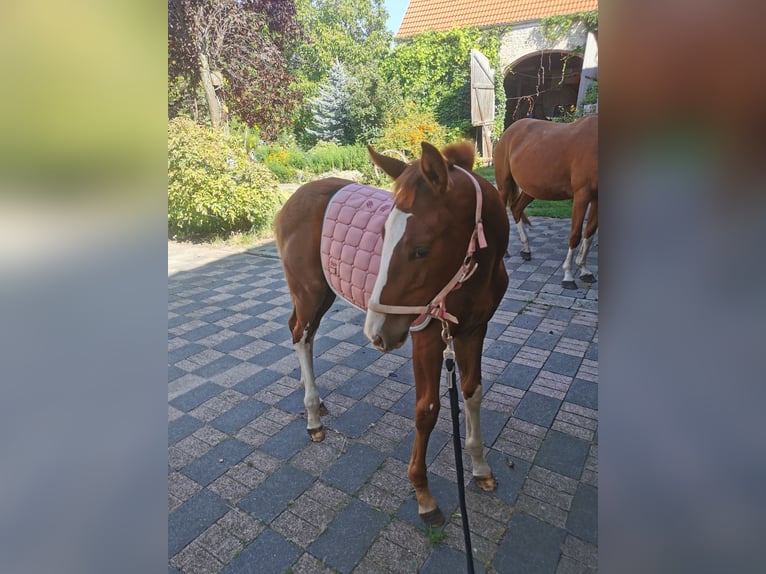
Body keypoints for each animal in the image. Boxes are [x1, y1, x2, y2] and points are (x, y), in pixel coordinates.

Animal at [274, 141, 509, 527]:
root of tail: (293, 199)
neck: (473, 278)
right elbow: (427, 409)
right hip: (309, 292)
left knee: (298, 332)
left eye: (421, 249)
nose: (377, 333)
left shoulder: (474, 330)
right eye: (383, 235)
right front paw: (423, 494)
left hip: (320, 294)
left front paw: (479, 467)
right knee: (301, 336)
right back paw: (312, 417)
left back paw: (315, 402)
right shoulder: (426, 337)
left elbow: (472, 392)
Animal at [493, 113, 598, 289]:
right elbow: (575, 235)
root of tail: (509, 131)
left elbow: (589, 233)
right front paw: (568, 275)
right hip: (504, 185)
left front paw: (584, 270)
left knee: (516, 209)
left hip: (531, 189)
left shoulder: (597, 198)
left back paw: (526, 250)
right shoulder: (581, 196)